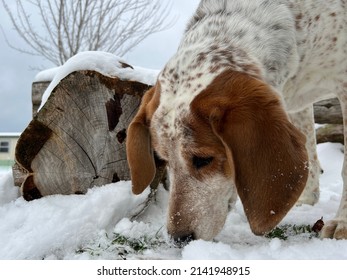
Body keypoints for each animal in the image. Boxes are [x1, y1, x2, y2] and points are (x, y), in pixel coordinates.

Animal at [125, 0, 347, 243]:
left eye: (203, 159)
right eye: (164, 160)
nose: (178, 237)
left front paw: (342, 222)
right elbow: (308, 151)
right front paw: (307, 199)